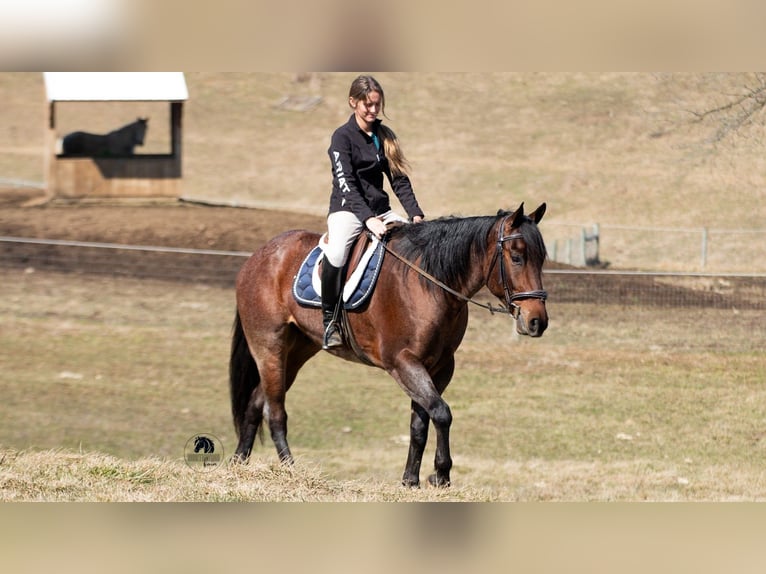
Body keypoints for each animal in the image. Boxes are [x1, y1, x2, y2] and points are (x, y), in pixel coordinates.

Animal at [229, 202, 548, 487]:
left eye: (542, 259)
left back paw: (239, 462)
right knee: (275, 411)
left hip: (297, 351)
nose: (537, 321)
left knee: (257, 402)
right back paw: (291, 470)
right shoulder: (402, 362)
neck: (428, 283)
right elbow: (441, 413)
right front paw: (441, 475)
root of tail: (259, 256)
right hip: (270, 346)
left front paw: (411, 480)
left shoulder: (439, 366)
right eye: (517, 257)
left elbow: (421, 422)